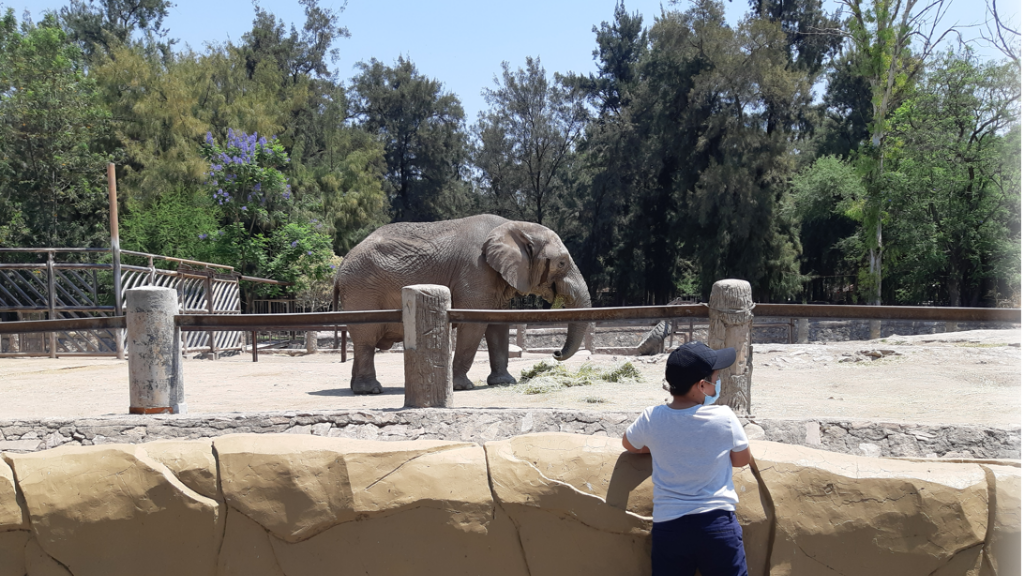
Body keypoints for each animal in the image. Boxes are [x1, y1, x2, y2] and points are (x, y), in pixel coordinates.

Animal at [333, 213, 593, 391]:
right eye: (561, 263)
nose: (556, 352)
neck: (512, 225)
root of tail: (341, 264)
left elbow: (498, 325)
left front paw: (504, 383)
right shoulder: (475, 271)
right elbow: (474, 324)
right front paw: (462, 386)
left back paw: (358, 389)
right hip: (362, 290)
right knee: (366, 339)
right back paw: (370, 390)